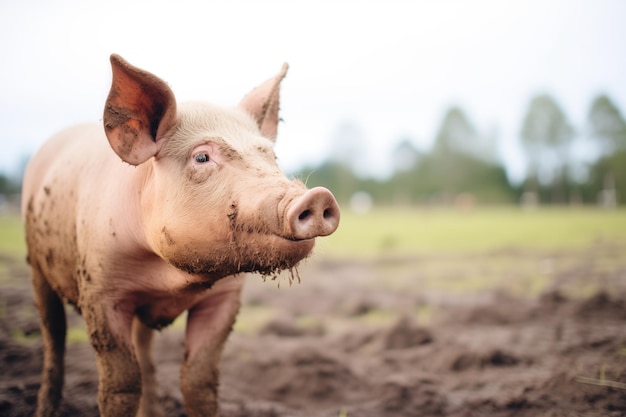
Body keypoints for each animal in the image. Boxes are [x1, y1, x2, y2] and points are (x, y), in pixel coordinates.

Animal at [22, 55, 338, 416]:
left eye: (271, 156)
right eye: (201, 157)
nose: (317, 196)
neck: (170, 278)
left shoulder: (224, 297)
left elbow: (199, 380)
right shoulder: (101, 292)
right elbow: (120, 385)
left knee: (144, 352)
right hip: (36, 264)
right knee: (53, 336)